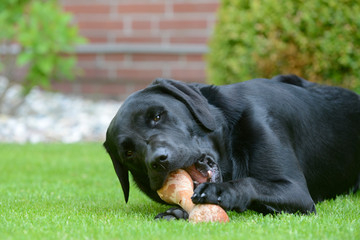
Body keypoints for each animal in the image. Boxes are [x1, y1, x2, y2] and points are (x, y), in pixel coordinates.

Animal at [104, 75, 360, 219]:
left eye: (157, 116)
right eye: (129, 152)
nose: (158, 160)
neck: (231, 133)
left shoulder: (296, 190)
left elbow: (250, 182)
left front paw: (218, 192)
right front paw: (177, 213)